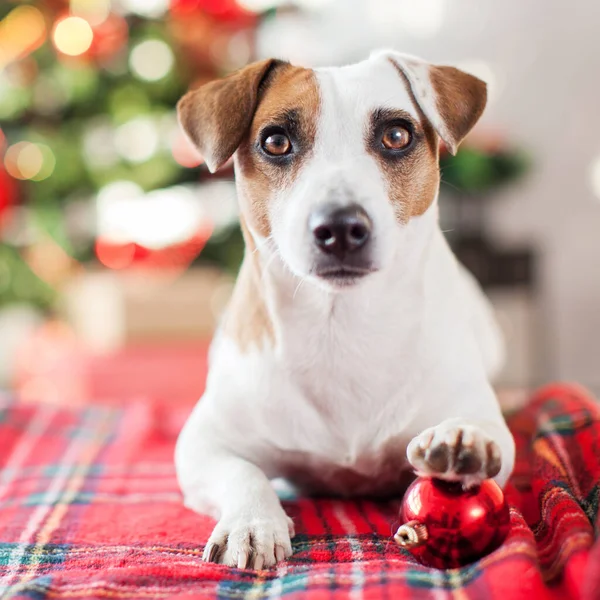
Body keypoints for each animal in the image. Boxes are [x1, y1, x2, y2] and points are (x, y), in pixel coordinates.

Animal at [173, 49, 516, 568]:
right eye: (275, 141)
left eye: (396, 135)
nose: (339, 227)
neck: (340, 325)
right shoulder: (203, 443)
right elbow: (242, 473)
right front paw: (251, 522)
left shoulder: (485, 417)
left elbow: (482, 429)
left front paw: (461, 441)